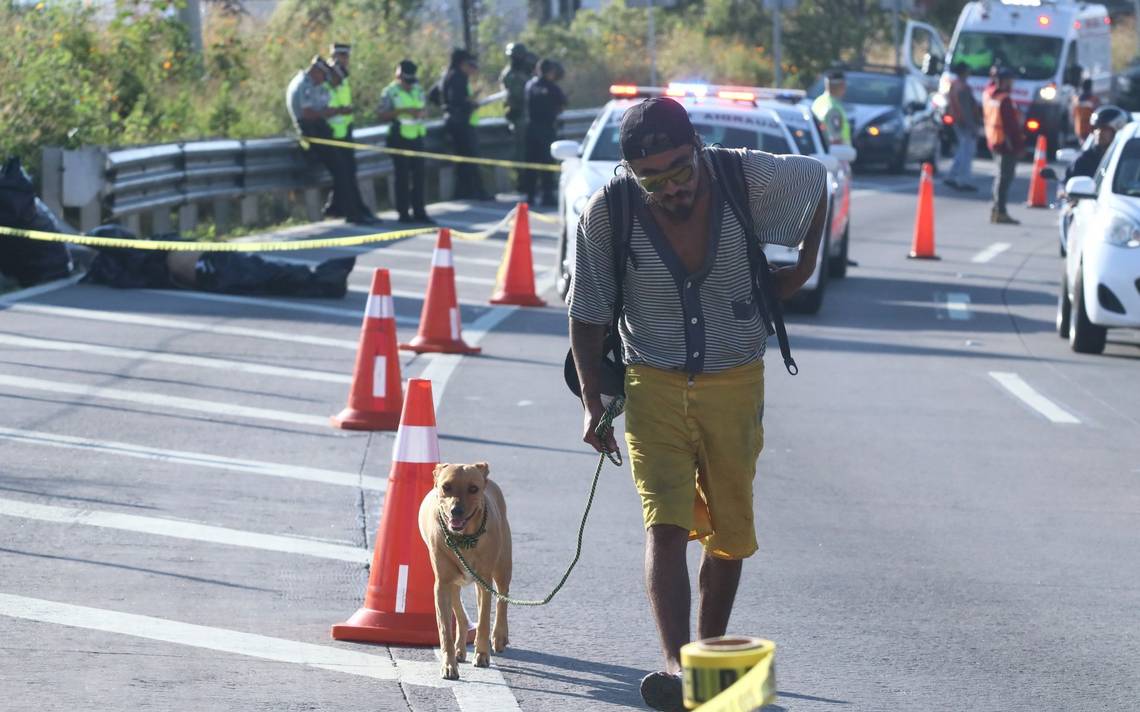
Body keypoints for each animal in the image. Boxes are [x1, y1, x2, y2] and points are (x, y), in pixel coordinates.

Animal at [419, 460, 513, 678]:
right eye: (446, 487)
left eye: (473, 489)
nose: (456, 511)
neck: (464, 539)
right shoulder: (442, 584)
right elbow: (445, 628)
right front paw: (449, 664)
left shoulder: (485, 581)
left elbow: (484, 619)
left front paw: (482, 654)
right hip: (454, 583)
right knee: (461, 616)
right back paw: (460, 649)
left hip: (503, 564)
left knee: (502, 596)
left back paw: (499, 636)